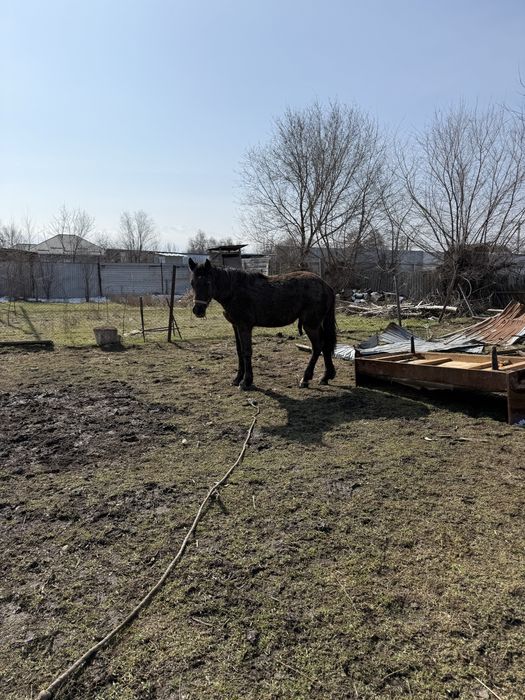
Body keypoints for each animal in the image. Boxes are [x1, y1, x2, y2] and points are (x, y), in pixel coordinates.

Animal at [188, 258, 337, 390]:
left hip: (310, 325)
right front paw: (237, 379)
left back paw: (305, 378)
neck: (234, 291)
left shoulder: (244, 326)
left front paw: (246, 381)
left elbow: (246, 351)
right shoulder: (236, 326)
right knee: (325, 345)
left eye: (207, 282)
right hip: (316, 324)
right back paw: (326, 376)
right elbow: (239, 351)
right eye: (192, 283)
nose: (198, 310)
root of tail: (326, 286)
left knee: (317, 347)